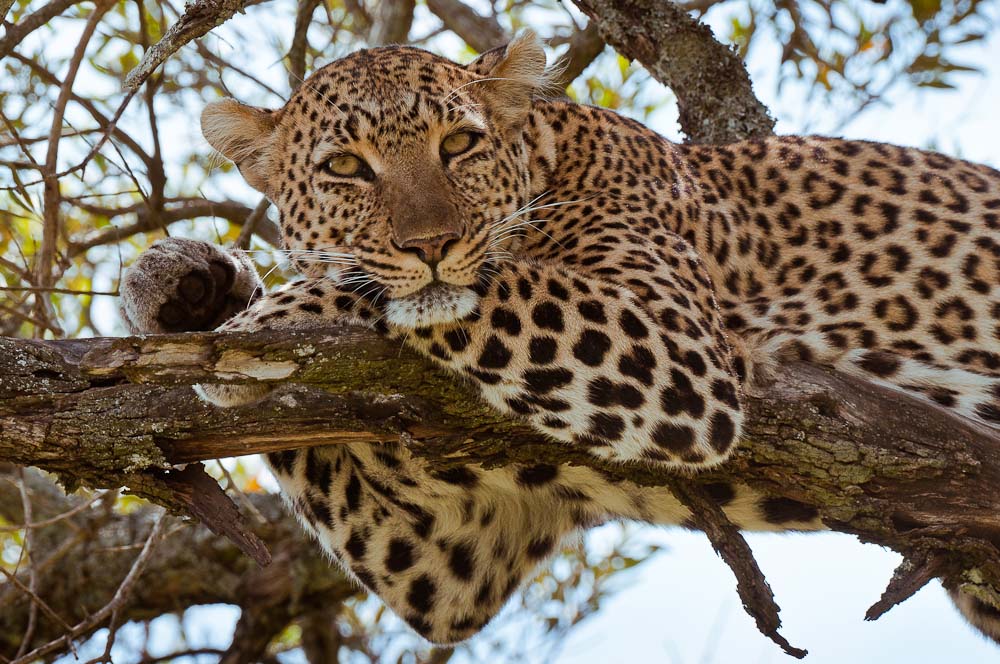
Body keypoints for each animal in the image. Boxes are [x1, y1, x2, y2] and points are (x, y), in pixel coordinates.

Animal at [119, 32, 1000, 647]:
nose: (430, 242)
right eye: (345, 167)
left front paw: (263, 321)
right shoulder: (455, 553)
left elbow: (452, 287)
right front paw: (180, 287)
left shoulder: (672, 344)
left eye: (459, 145)